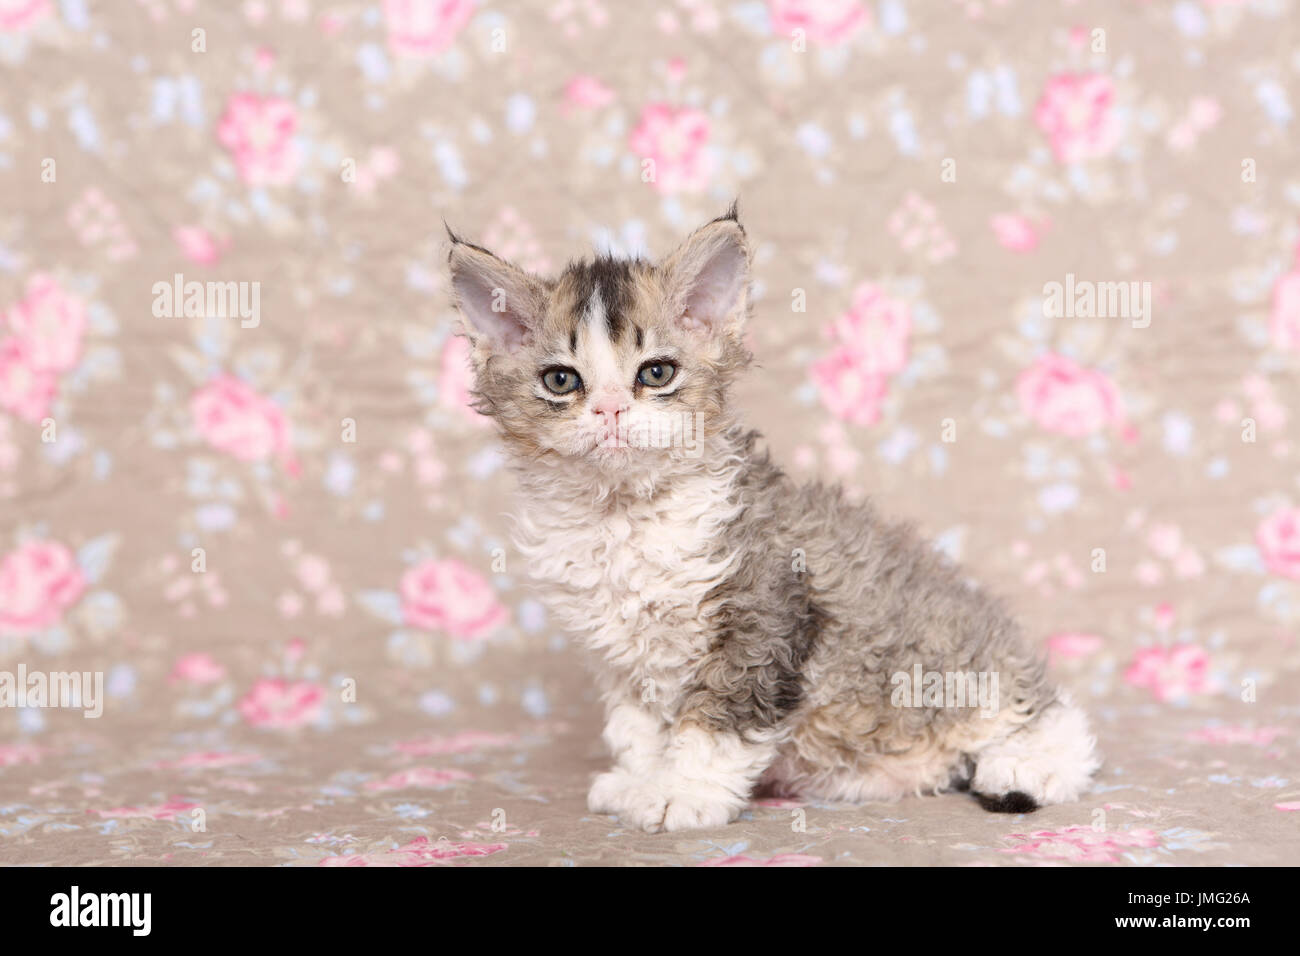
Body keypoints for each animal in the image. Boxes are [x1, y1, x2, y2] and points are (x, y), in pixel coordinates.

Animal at [447, 208, 1097, 832]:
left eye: (656, 373)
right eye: (561, 380)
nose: (609, 409)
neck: (622, 516)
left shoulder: (765, 617)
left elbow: (715, 724)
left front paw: (683, 794)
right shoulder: (623, 659)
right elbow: (640, 730)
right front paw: (642, 781)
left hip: (959, 665)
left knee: (1052, 717)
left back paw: (1027, 764)